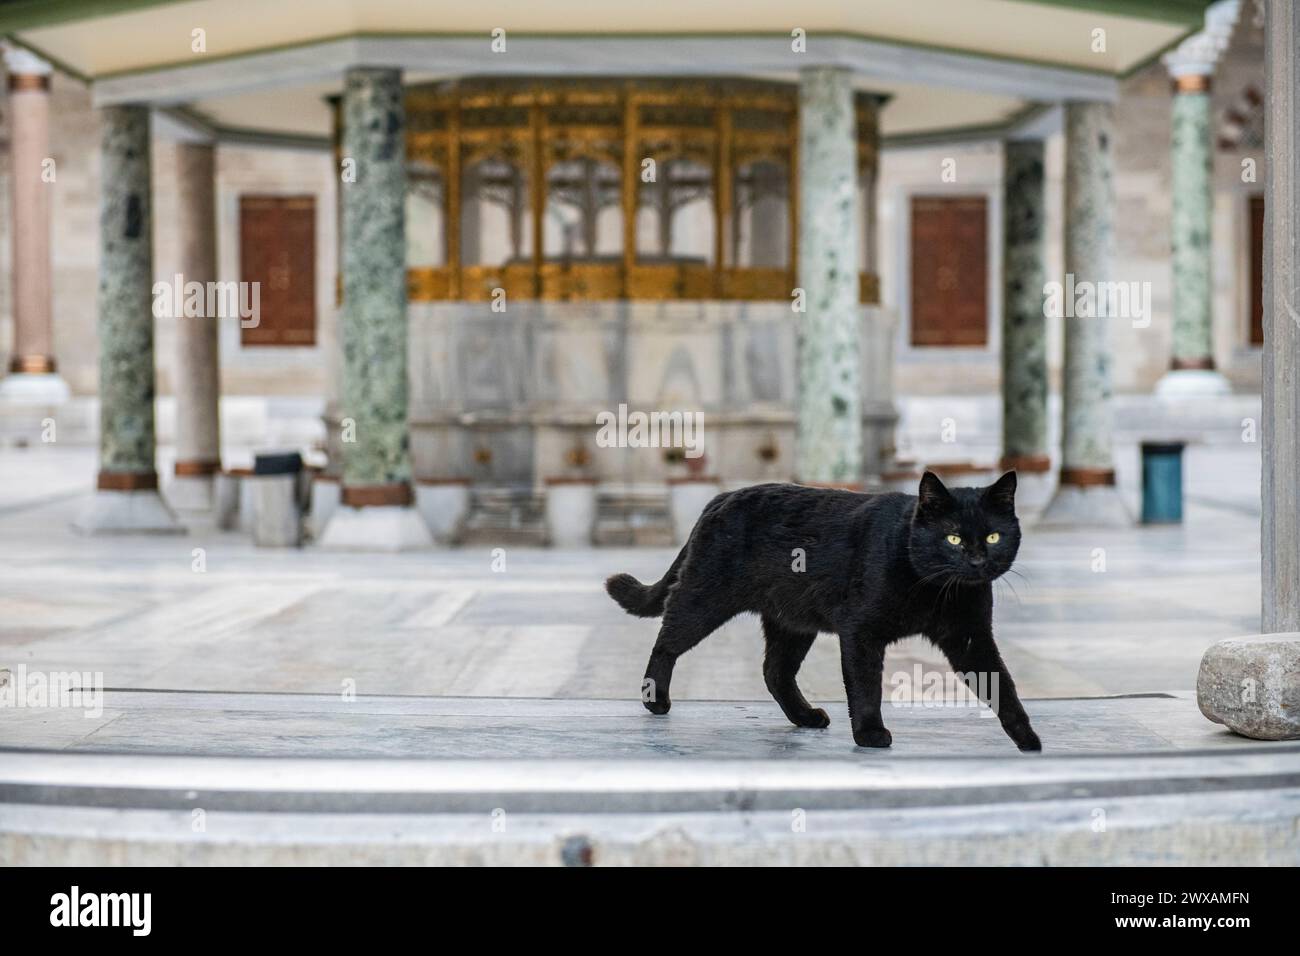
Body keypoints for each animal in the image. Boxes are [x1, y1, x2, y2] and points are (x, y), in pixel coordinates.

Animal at [603, 476, 1040, 749]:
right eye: (952, 538)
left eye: (993, 536)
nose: (977, 560)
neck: (937, 588)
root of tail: (719, 497)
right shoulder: (861, 631)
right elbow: (865, 686)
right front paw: (870, 734)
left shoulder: (970, 637)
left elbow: (1003, 684)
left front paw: (1027, 739)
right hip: (705, 599)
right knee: (666, 641)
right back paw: (655, 700)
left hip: (792, 622)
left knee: (775, 671)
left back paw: (806, 717)